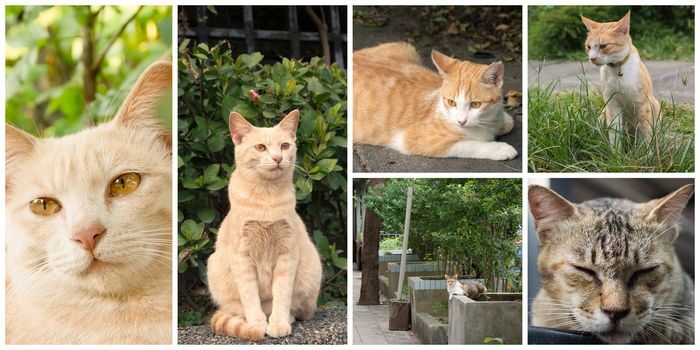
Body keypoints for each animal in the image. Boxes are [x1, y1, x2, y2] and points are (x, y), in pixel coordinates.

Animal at [204, 108, 322, 340]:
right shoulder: (242, 257)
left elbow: (282, 295)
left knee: (296, 308)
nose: (277, 158)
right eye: (260, 147)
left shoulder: (287, 253)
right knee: (237, 309)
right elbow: (250, 297)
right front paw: (256, 325)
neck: (266, 197)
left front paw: (278, 323)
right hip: (214, 267)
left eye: (284, 146)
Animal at [356, 42, 516, 160]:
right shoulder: (414, 139)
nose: (461, 121)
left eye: (475, 104)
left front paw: (505, 119)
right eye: (451, 102)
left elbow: (508, 123)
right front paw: (500, 148)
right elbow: (468, 144)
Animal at [584, 10, 660, 145]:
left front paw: (646, 151)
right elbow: (614, 134)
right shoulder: (612, 105)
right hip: (602, 113)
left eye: (603, 46)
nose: (592, 58)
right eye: (589, 47)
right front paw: (615, 151)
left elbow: (646, 134)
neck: (618, 68)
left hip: (655, 105)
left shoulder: (643, 104)